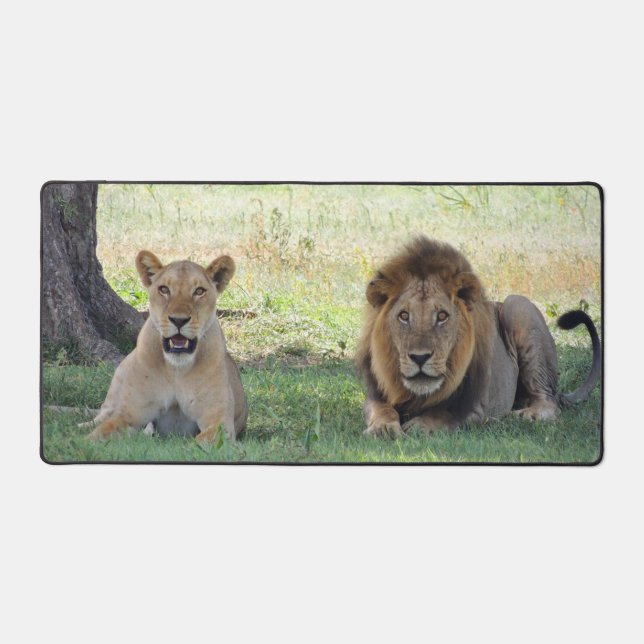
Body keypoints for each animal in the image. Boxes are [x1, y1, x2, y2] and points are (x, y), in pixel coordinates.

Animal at [86, 251, 248, 445]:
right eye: (164, 289)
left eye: (199, 291)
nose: (178, 320)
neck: (176, 369)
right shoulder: (129, 415)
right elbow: (99, 433)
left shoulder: (219, 422)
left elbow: (200, 441)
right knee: (101, 415)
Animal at [356, 236, 601, 437]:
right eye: (404, 316)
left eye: (442, 316)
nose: (419, 357)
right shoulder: (375, 395)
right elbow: (382, 410)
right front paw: (383, 428)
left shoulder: (476, 407)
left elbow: (445, 415)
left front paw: (420, 425)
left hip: (517, 306)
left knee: (549, 401)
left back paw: (526, 415)